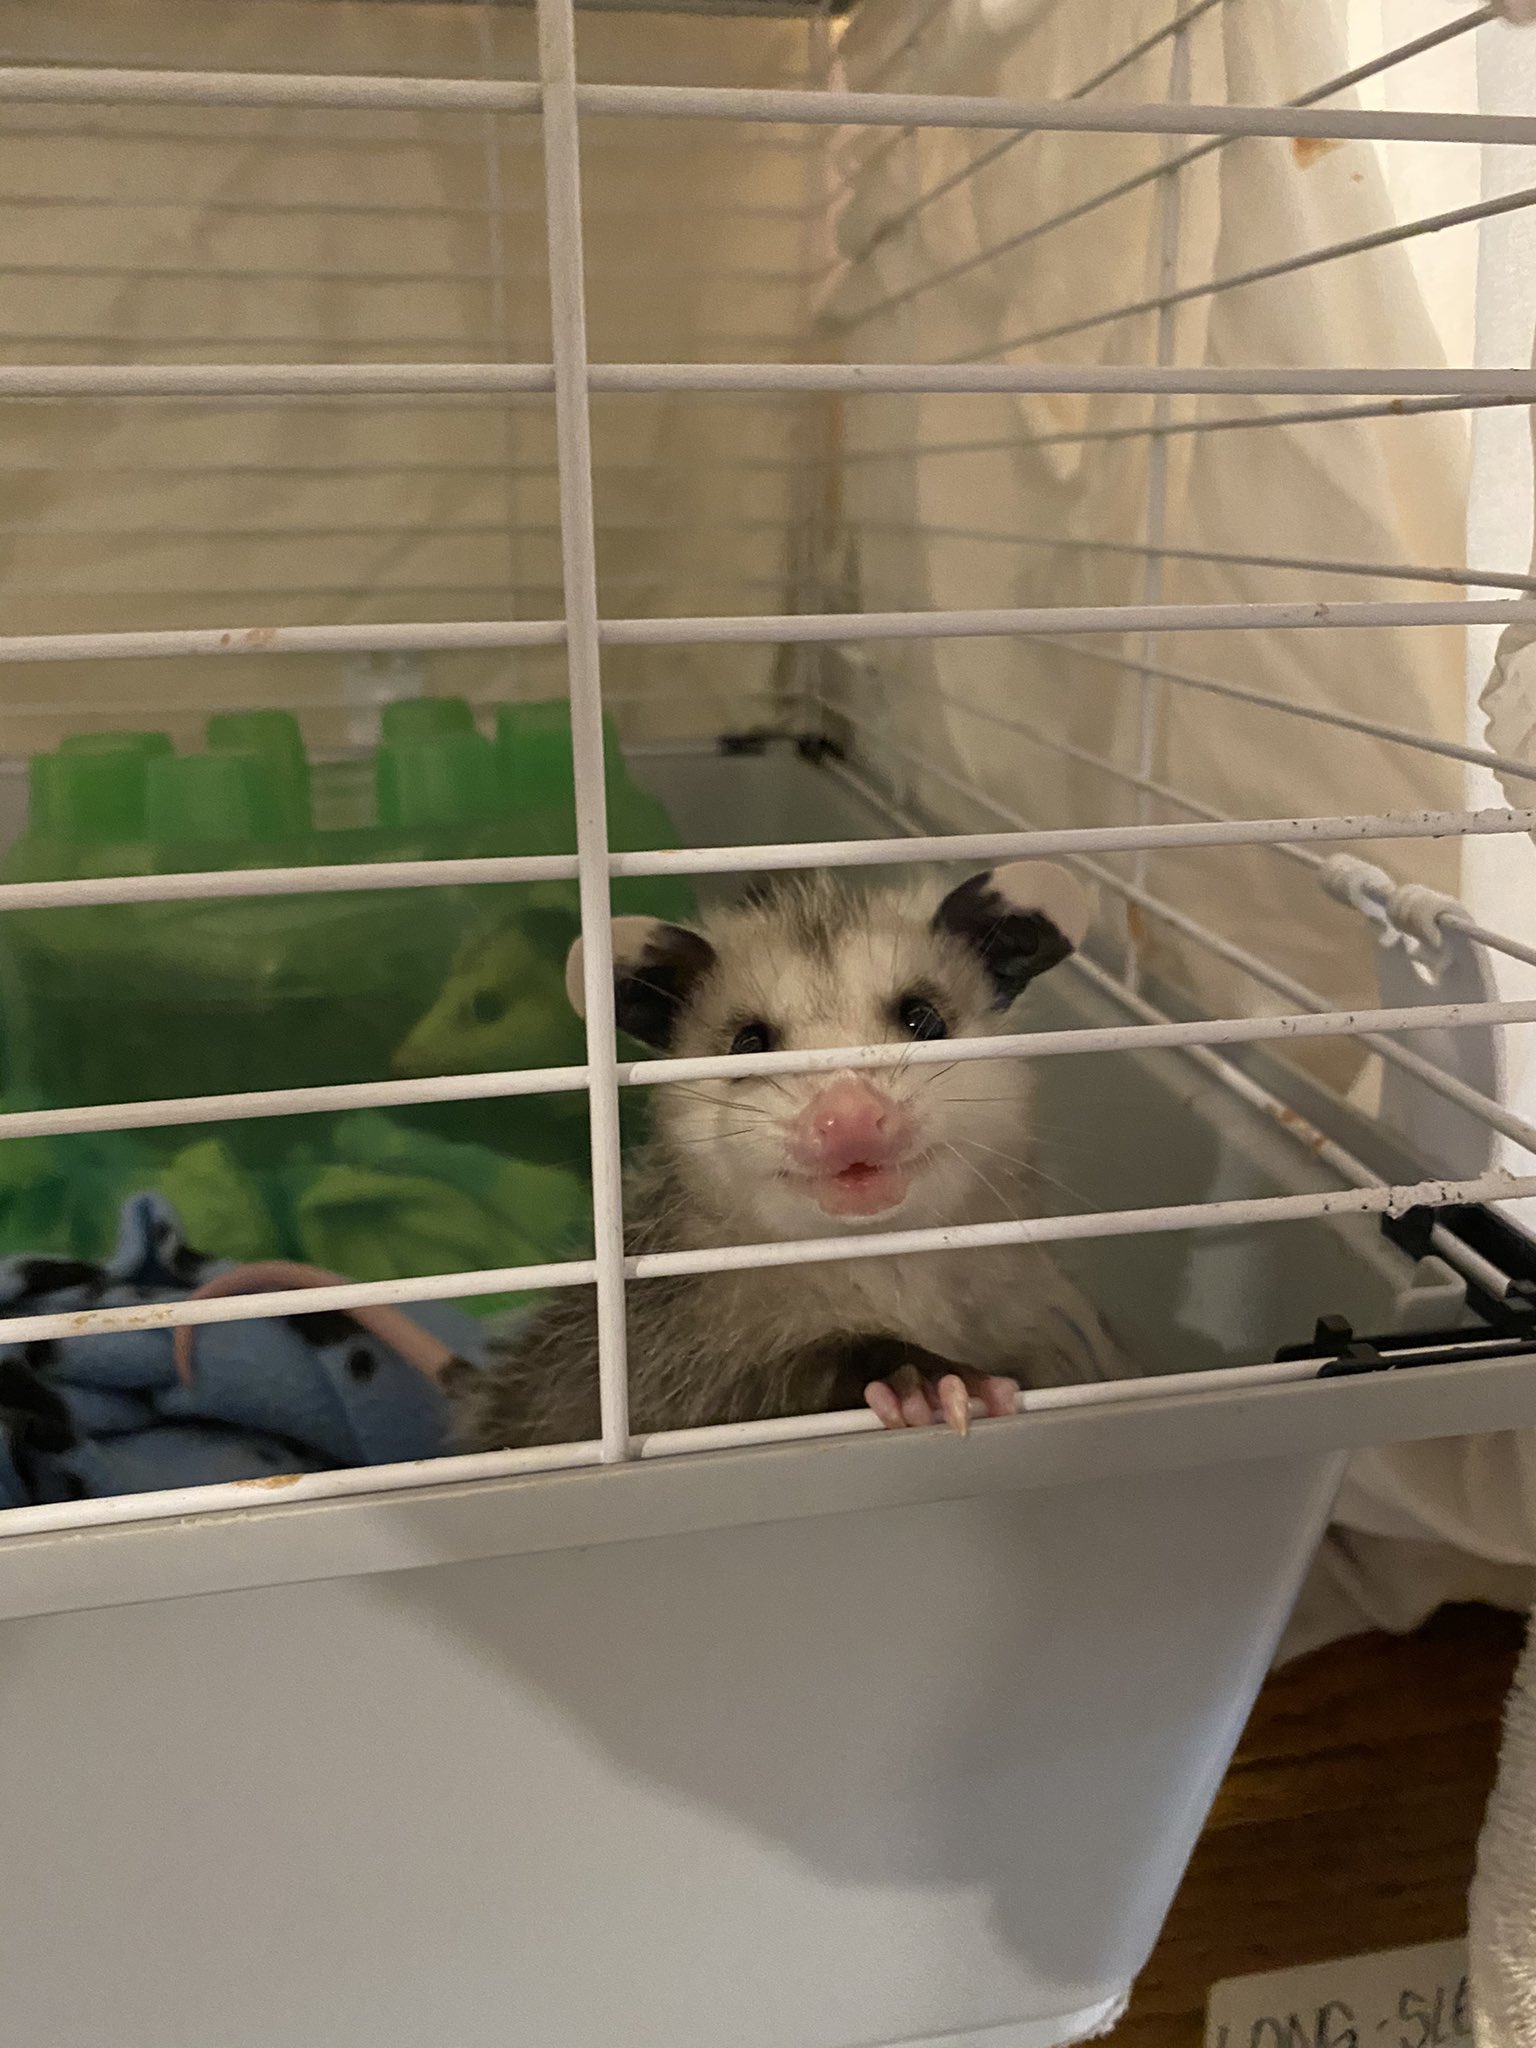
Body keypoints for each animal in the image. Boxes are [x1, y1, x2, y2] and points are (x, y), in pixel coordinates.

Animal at [449, 860, 1134, 1451]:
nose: (848, 1119)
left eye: (923, 1018)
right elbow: (770, 1384)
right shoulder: (666, 1356)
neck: (880, 1263)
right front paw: (929, 1383)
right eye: (749, 1042)